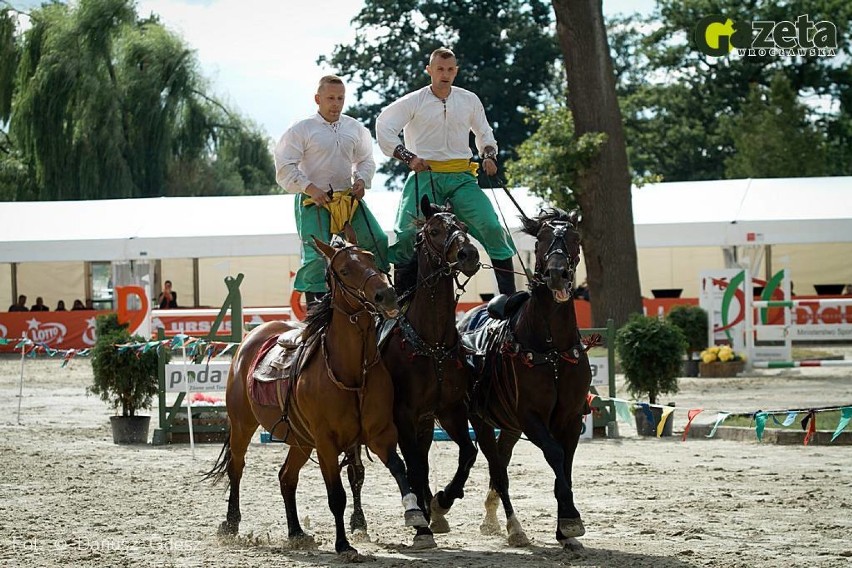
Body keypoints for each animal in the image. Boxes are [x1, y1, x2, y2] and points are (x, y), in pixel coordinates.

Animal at [204, 226, 430, 560]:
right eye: (344, 269)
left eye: (371, 257)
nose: (386, 295)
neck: (350, 371)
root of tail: (251, 338)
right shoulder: (326, 443)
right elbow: (336, 496)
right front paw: (344, 545)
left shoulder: (380, 434)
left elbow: (400, 469)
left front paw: (416, 515)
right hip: (244, 425)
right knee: (237, 468)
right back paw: (231, 524)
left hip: (299, 439)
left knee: (286, 477)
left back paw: (297, 532)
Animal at [460, 209, 592, 552]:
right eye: (542, 238)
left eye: (575, 238)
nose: (558, 274)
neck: (552, 349)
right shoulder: (531, 417)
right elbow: (555, 455)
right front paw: (571, 520)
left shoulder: (571, 418)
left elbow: (565, 466)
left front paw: (565, 528)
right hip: (482, 421)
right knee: (498, 469)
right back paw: (513, 527)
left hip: (507, 426)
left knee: (501, 461)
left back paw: (492, 517)